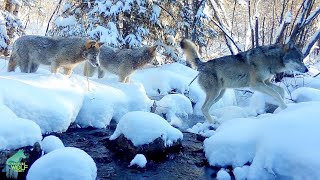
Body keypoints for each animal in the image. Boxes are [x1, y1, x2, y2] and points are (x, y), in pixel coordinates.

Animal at [180, 38, 308, 124]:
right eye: (299, 59)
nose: (307, 69)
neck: (270, 60)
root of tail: (203, 64)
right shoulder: (256, 84)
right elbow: (276, 93)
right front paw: (286, 108)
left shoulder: (266, 82)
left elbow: (280, 91)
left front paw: (283, 107)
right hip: (215, 94)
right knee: (203, 108)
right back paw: (213, 123)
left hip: (219, 95)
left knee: (205, 108)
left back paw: (213, 121)